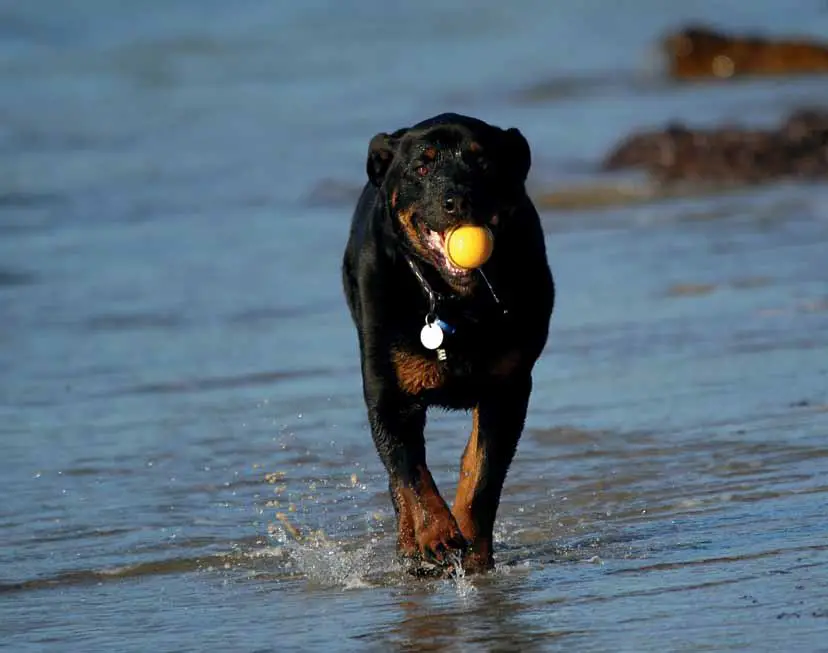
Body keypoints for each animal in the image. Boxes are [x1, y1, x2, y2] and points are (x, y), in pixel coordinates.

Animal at [342, 114, 556, 572]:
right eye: (421, 167)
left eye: (483, 163)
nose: (458, 201)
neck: (453, 301)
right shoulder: (387, 395)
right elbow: (411, 474)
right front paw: (436, 534)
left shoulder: (508, 390)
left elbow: (482, 474)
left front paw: (473, 547)